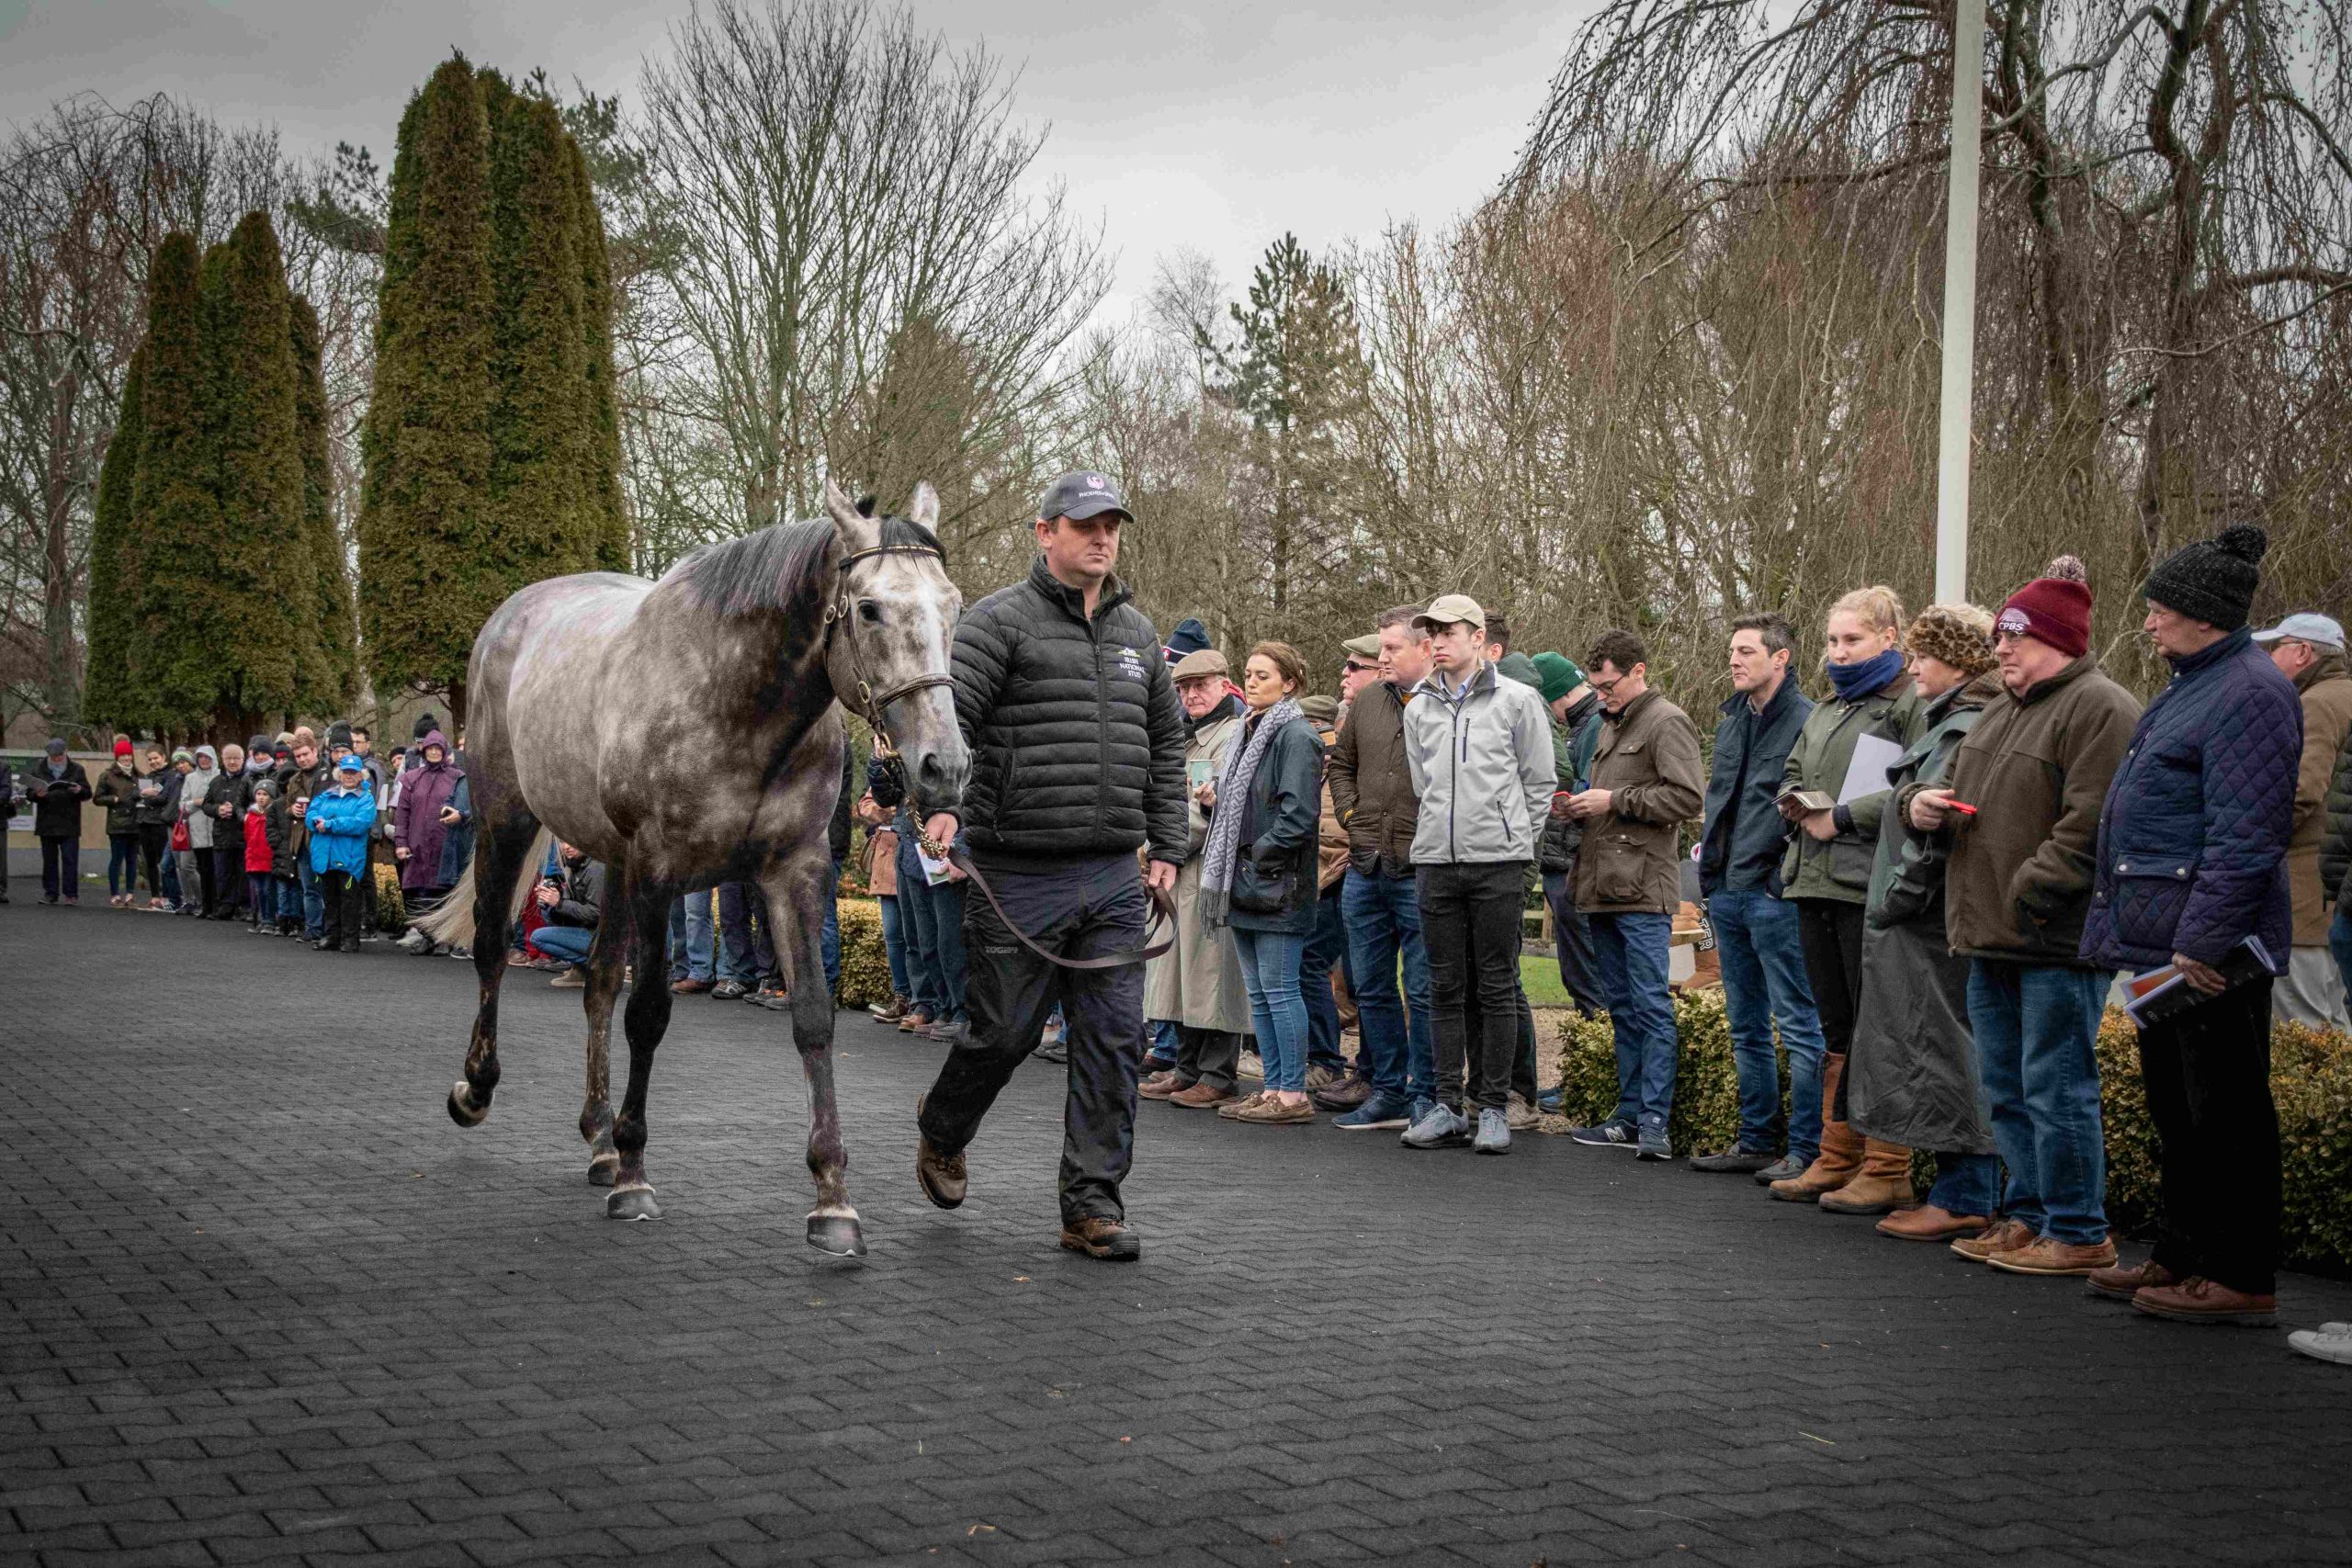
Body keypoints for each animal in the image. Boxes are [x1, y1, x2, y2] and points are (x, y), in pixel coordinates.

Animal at [412, 479, 964, 1250]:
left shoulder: (795, 872)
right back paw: (481, 1089)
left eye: (953, 604)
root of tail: (510, 615)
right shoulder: (658, 868)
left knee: (597, 982)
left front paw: (833, 1199)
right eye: (870, 608)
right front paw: (637, 1176)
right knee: (493, 947)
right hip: (506, 820)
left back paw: (599, 1137)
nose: (944, 766)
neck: (737, 702)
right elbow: (648, 1012)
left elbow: (813, 1015)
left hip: (610, 862)